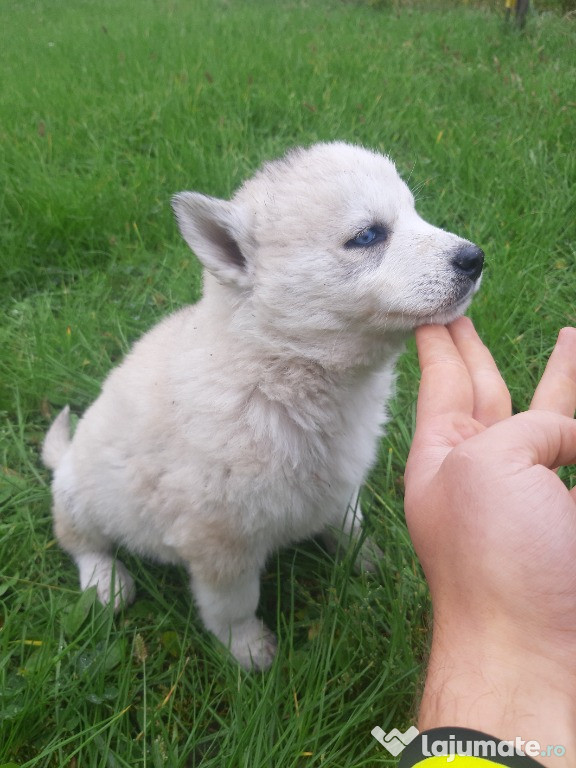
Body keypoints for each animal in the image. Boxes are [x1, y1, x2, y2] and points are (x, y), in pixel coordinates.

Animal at [44, 142, 482, 664]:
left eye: (414, 213)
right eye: (367, 235)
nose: (475, 257)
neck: (275, 374)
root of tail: (63, 458)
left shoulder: (340, 481)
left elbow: (350, 526)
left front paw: (370, 561)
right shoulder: (219, 542)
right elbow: (233, 604)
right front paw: (249, 650)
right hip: (82, 497)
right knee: (79, 540)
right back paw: (105, 581)